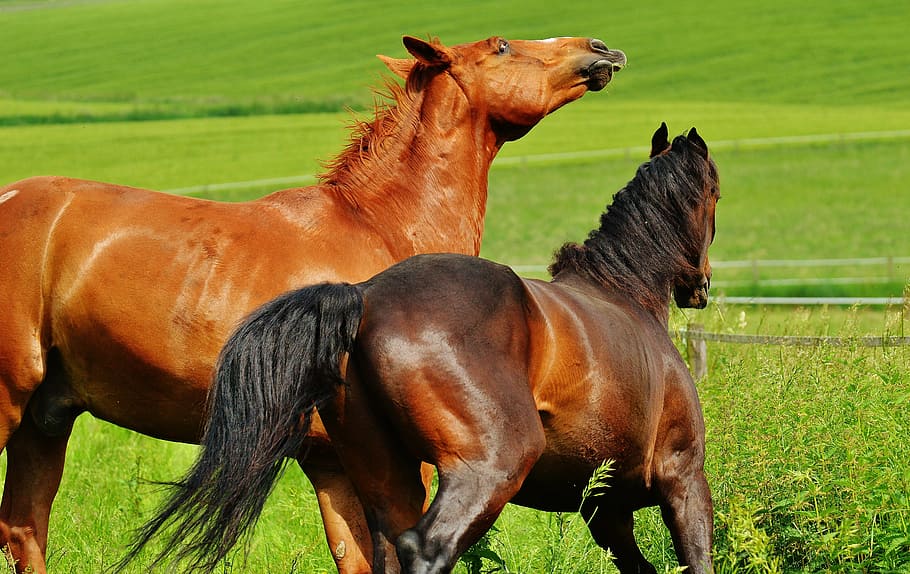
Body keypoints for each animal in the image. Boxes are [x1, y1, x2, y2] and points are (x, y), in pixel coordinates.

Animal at [0, 35, 626, 574]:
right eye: (501, 46)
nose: (600, 49)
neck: (380, 228)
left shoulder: (331, 464)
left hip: (45, 421)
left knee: (23, 529)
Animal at [126, 123, 718, 573]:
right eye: (715, 194)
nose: (702, 288)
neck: (626, 294)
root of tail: (364, 297)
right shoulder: (683, 481)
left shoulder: (607, 510)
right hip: (488, 470)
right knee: (427, 548)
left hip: (387, 478)